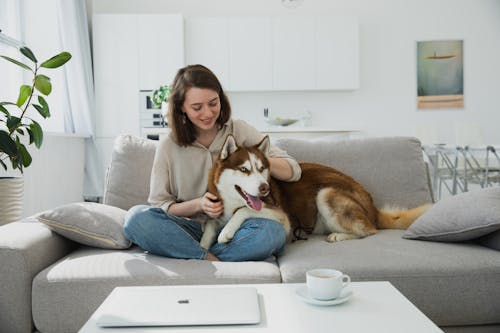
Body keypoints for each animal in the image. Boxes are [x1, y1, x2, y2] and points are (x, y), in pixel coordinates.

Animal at [199, 135, 430, 249]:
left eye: (262, 168)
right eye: (244, 169)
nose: (264, 187)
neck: (232, 200)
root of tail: (372, 206)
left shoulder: (281, 216)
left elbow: (242, 211)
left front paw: (226, 232)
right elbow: (209, 225)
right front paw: (202, 246)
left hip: (325, 193)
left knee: (369, 230)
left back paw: (338, 235)